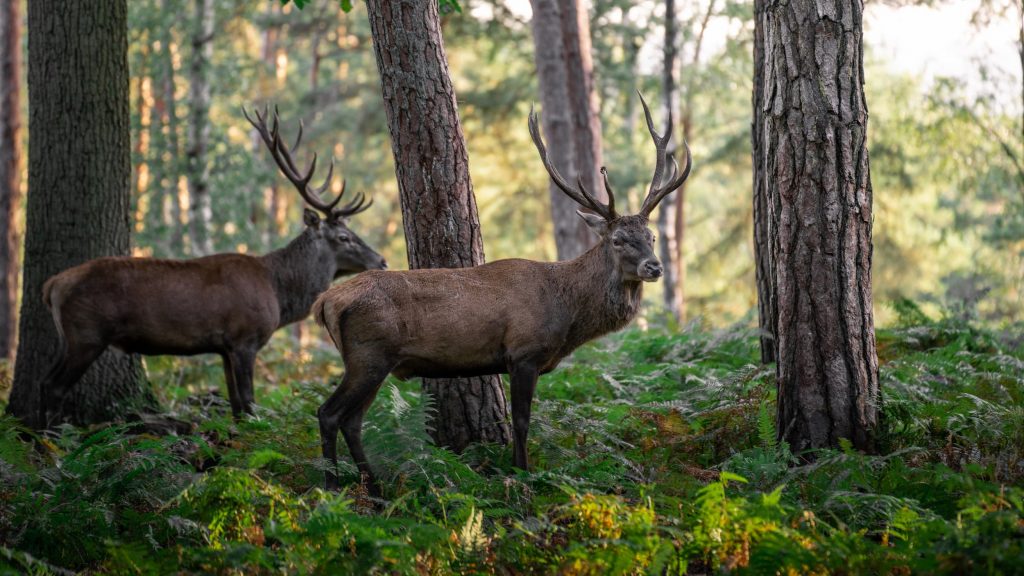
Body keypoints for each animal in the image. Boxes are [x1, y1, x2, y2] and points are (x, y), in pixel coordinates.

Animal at [36, 107, 385, 426]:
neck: (278, 292)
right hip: (86, 333)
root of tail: (52, 285)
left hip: (70, 336)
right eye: (344, 237)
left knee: (44, 380)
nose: (381, 260)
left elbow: (235, 405)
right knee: (54, 386)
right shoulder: (245, 338)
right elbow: (249, 401)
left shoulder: (224, 348)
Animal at [315, 95, 692, 494]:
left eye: (652, 237)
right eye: (618, 240)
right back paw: (332, 486)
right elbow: (521, 422)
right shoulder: (523, 352)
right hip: (368, 355)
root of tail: (325, 302)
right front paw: (521, 476)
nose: (655, 267)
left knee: (352, 421)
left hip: (373, 361)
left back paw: (374, 489)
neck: (566, 312)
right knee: (329, 413)